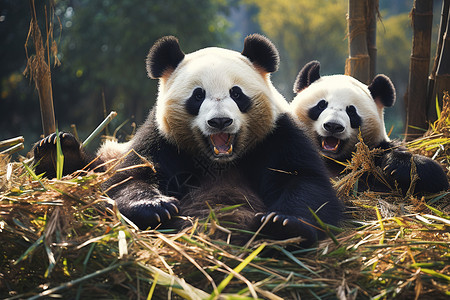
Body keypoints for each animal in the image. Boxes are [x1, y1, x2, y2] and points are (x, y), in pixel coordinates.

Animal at [33, 35, 342, 246]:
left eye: (237, 93)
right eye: (198, 95)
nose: (220, 121)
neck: (219, 161)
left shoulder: (277, 135)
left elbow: (304, 181)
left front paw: (283, 223)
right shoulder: (162, 139)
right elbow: (130, 176)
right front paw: (156, 207)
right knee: (95, 167)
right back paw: (56, 150)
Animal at [290, 61, 448, 196]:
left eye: (351, 111)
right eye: (321, 105)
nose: (333, 125)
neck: (334, 159)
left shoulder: (375, 151)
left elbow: (437, 178)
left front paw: (395, 163)